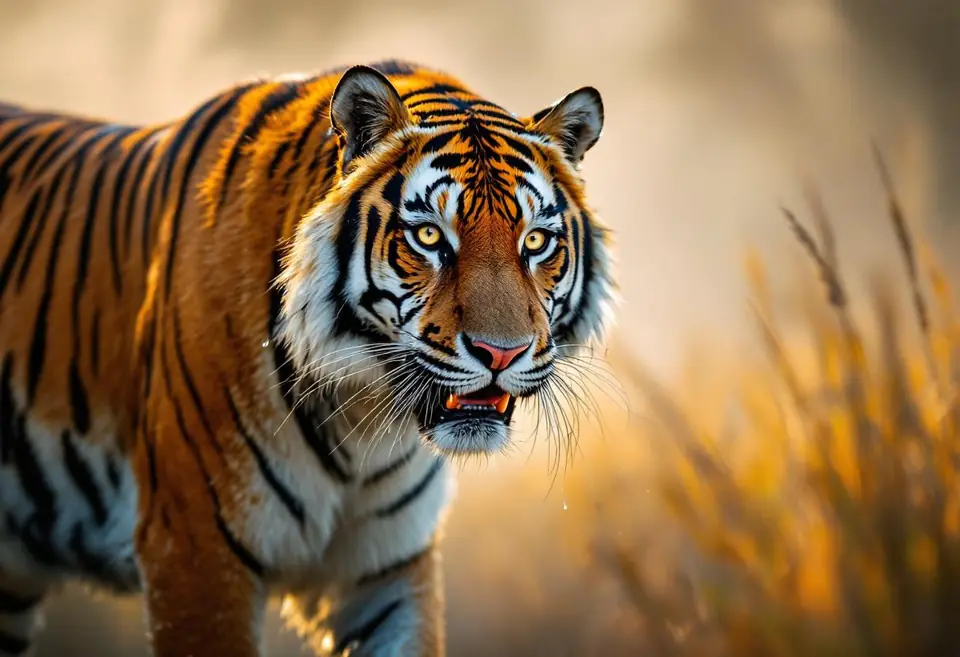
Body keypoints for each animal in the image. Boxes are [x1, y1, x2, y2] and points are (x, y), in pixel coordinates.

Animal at [0, 59, 614, 656]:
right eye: (428, 237)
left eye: (535, 242)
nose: (500, 353)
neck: (365, 421)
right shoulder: (195, 549)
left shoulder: (388, 564)